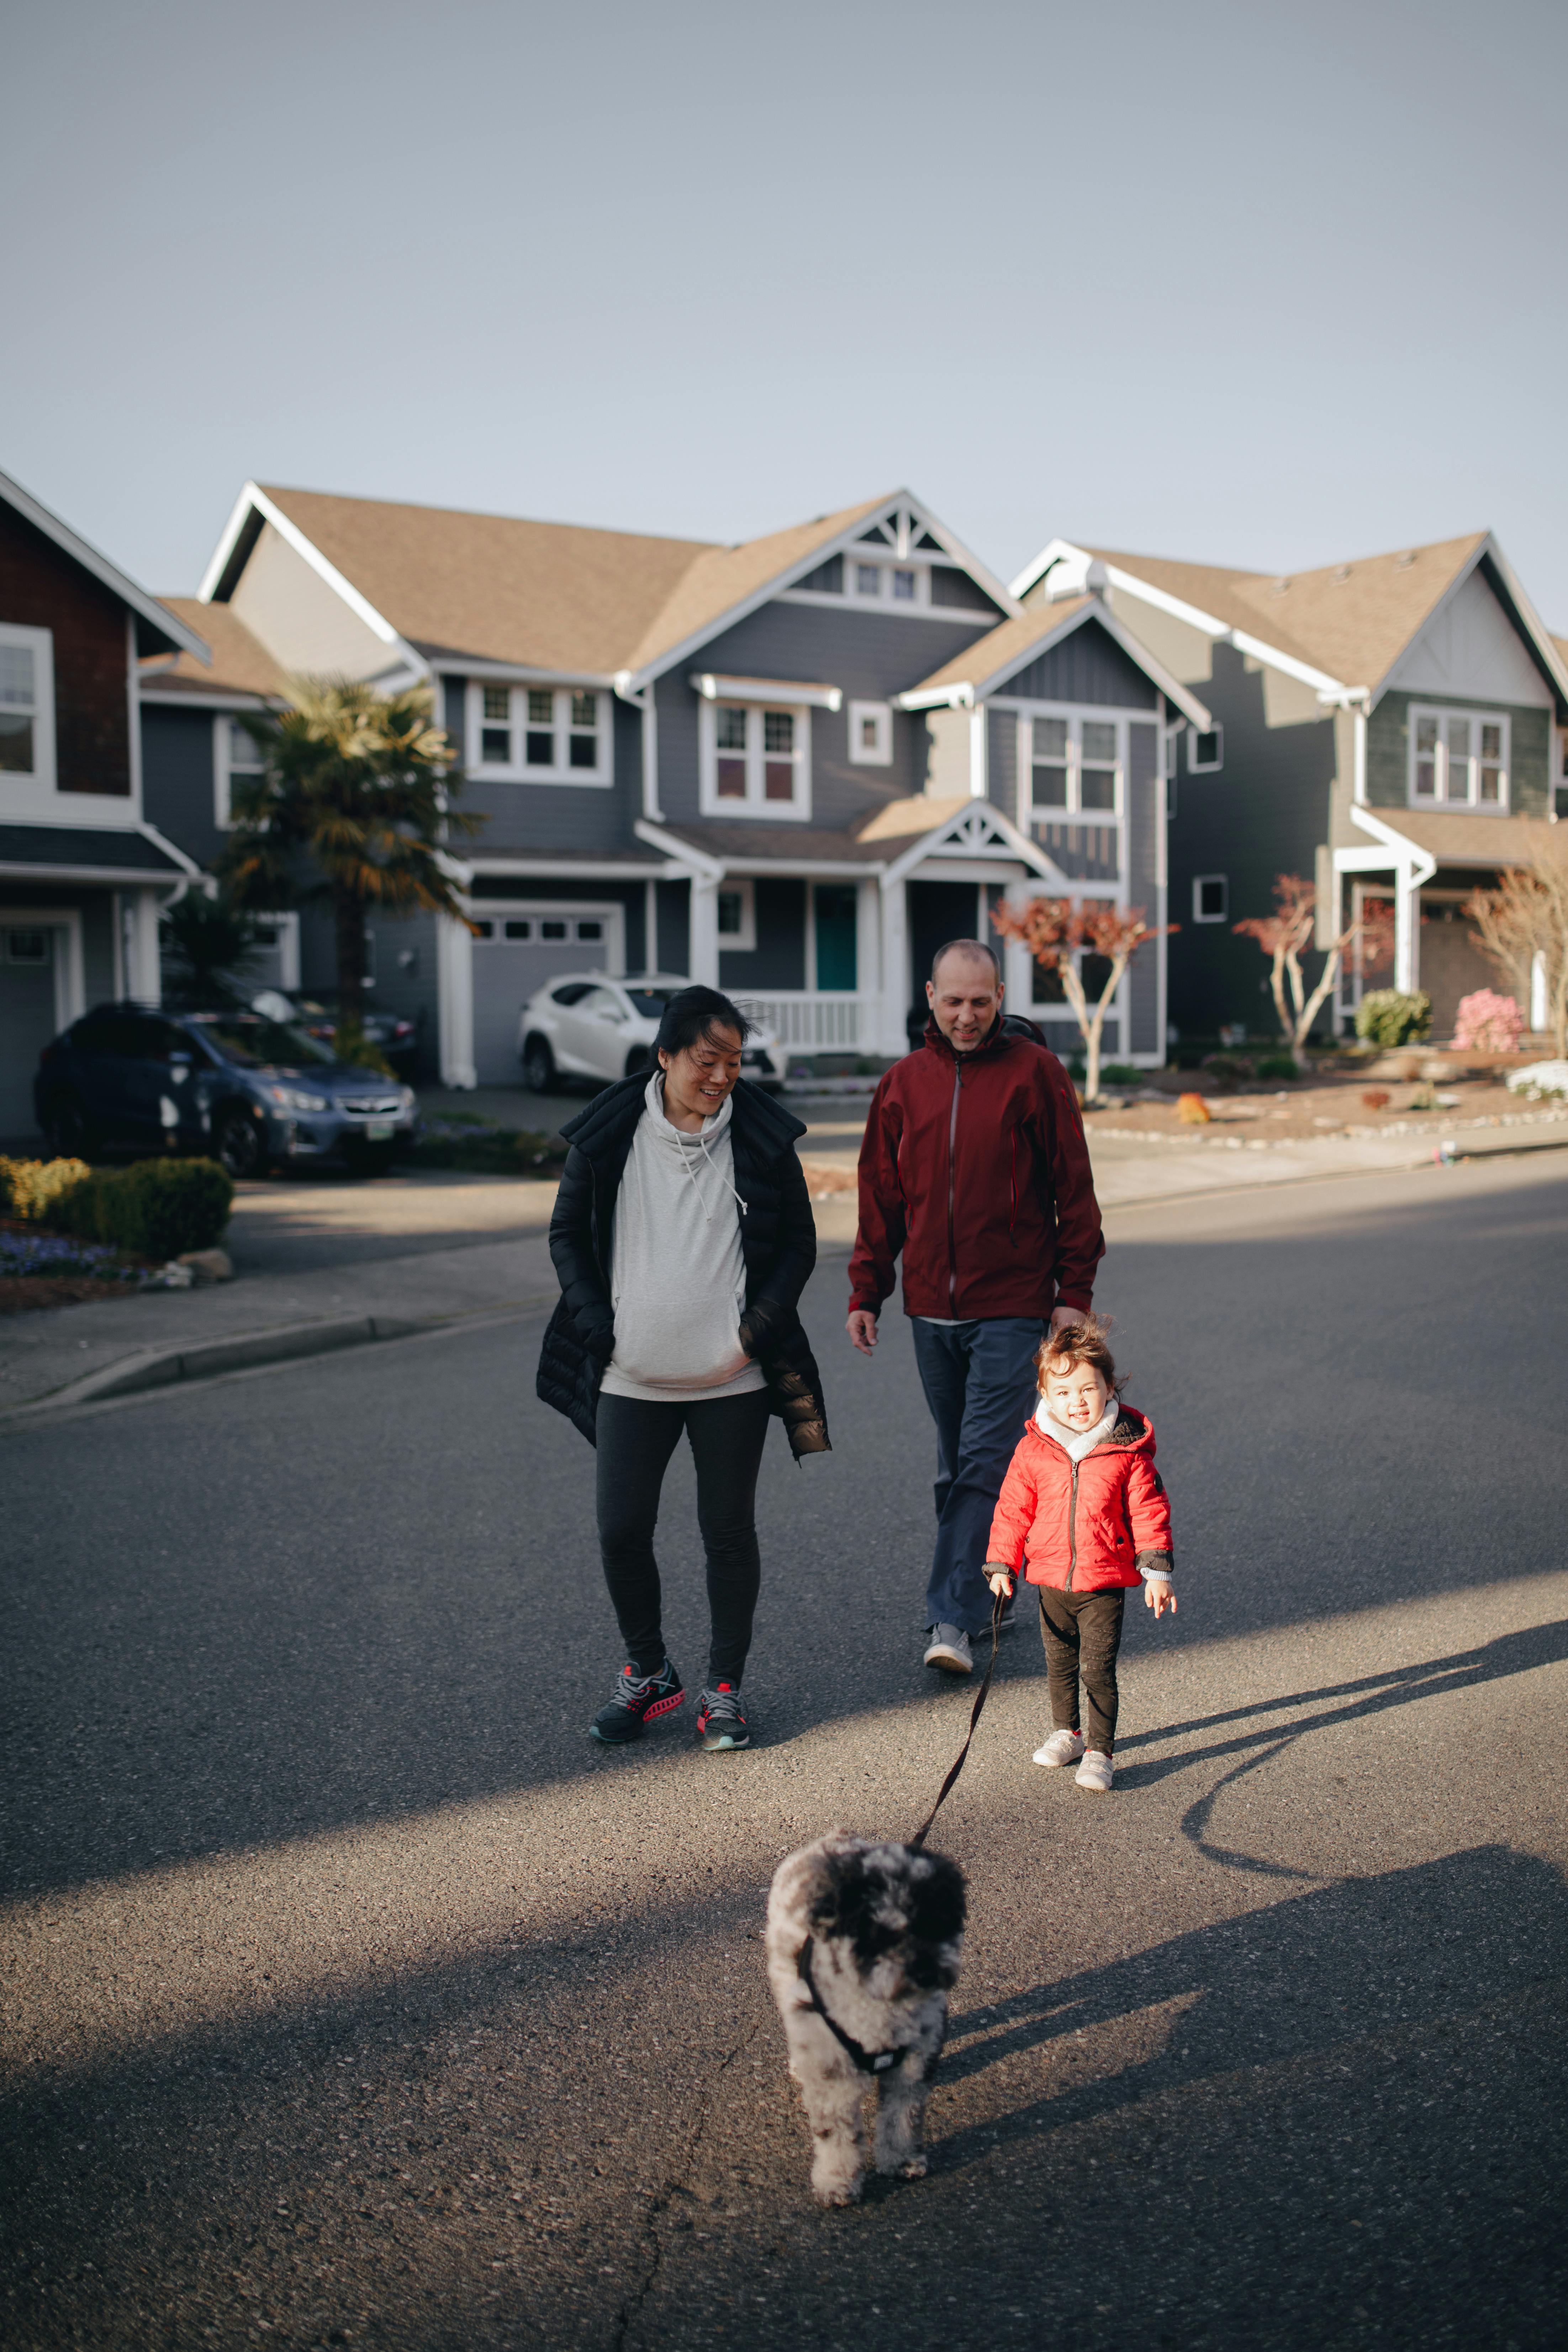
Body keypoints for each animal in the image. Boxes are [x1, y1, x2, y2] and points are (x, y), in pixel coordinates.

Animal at [771, 1834, 973, 2201]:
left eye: (938, 1922)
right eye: (882, 1934)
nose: (926, 1973)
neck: (883, 2007)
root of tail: (833, 1837)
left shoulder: (914, 2064)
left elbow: (902, 2120)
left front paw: (902, 2161)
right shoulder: (833, 2074)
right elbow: (838, 2136)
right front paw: (837, 2181)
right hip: (785, 1982)